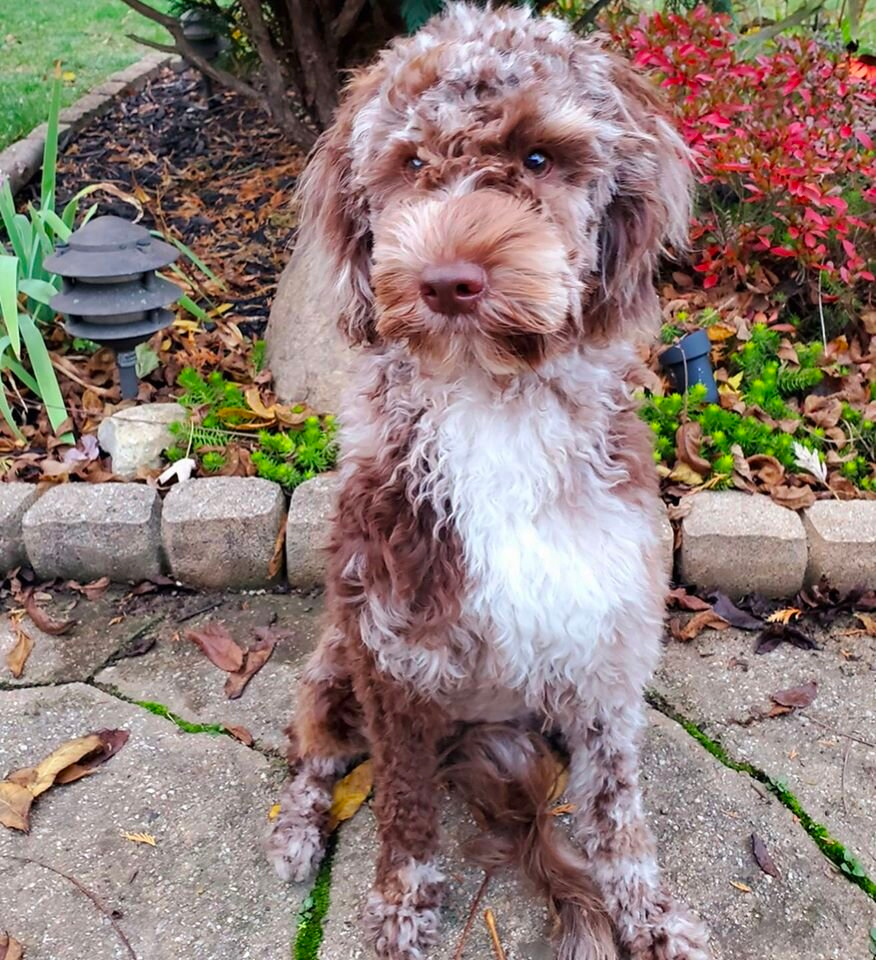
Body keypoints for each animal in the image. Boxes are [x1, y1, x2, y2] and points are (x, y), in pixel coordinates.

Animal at [266, 3, 712, 956]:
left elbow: (618, 810)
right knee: (314, 756)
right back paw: (296, 832)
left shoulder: (606, 647)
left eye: (539, 157)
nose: (447, 282)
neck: (493, 397)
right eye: (411, 164)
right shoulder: (392, 650)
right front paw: (400, 907)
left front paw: (650, 917)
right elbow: (402, 805)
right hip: (331, 665)